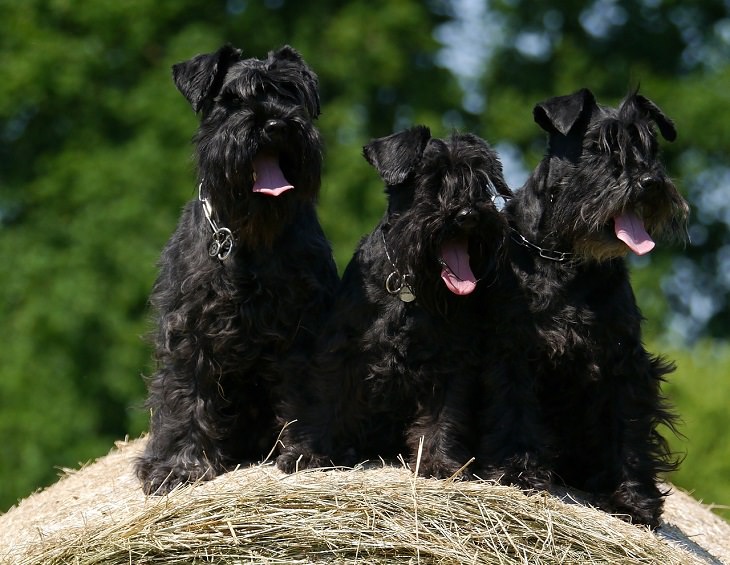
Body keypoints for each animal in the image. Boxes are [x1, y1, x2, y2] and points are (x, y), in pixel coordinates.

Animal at [135, 45, 336, 494]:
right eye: (231, 100)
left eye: (291, 93)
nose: (275, 123)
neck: (250, 236)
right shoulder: (189, 328)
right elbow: (183, 392)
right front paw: (177, 466)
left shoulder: (304, 323)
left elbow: (306, 386)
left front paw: (307, 451)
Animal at [278, 125, 544, 486]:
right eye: (431, 181)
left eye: (480, 183)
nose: (469, 214)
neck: (410, 287)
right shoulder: (340, 348)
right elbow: (324, 400)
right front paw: (307, 453)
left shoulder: (451, 358)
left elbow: (444, 415)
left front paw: (440, 463)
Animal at [504, 87, 684, 524]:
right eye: (598, 147)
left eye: (652, 147)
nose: (650, 181)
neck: (566, 258)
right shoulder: (517, 349)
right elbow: (518, 409)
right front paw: (523, 474)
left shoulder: (624, 361)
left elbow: (630, 429)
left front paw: (635, 500)